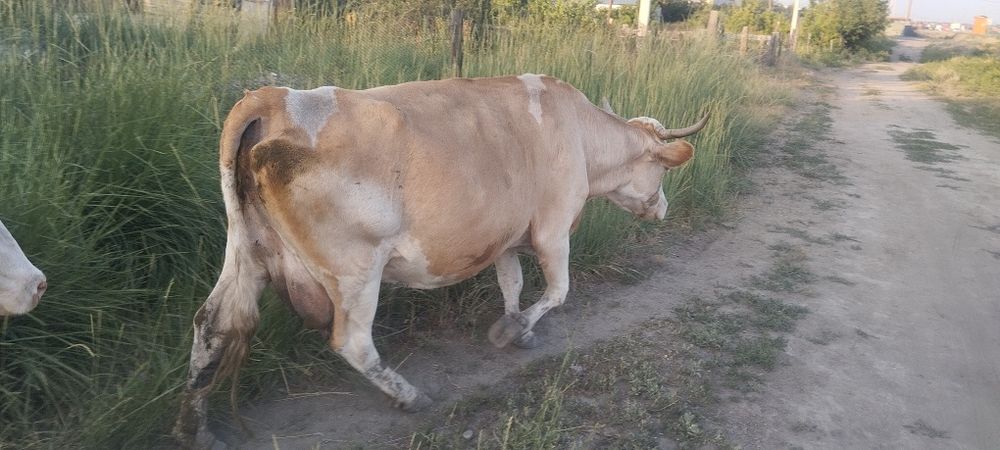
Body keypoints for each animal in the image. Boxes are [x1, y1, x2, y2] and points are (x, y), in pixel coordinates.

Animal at [174, 74, 706, 447]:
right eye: (660, 171)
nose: (662, 208)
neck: (579, 133)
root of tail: (274, 97)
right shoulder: (553, 230)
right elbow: (557, 292)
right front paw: (513, 331)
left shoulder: (506, 237)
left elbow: (512, 284)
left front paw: (517, 327)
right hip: (355, 268)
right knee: (352, 342)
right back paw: (409, 395)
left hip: (248, 251)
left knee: (212, 324)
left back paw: (197, 429)